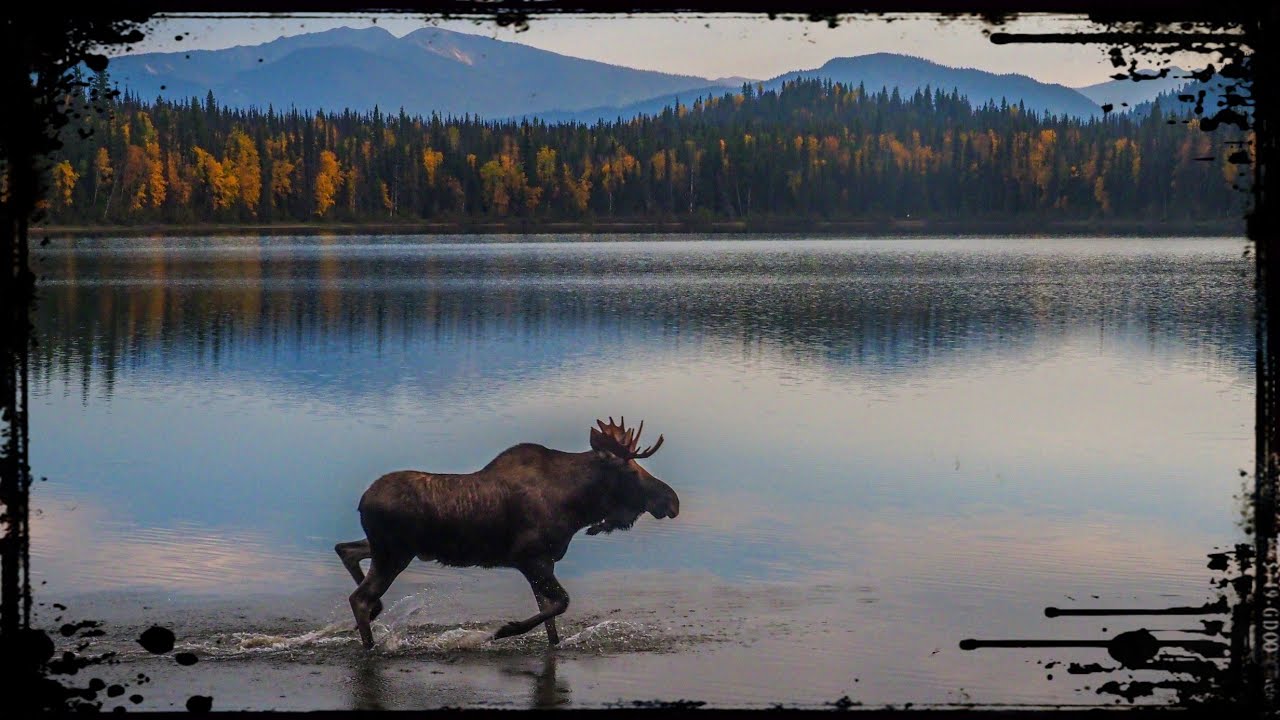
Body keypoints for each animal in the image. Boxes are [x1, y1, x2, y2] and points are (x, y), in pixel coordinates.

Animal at [337, 412, 680, 648]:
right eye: (630, 471)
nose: (672, 500)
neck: (577, 507)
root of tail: (362, 501)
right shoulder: (530, 558)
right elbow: (561, 603)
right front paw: (505, 630)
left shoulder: (542, 563)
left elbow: (551, 620)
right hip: (394, 553)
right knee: (359, 598)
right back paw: (370, 643)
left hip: (389, 549)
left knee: (346, 550)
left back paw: (374, 614)